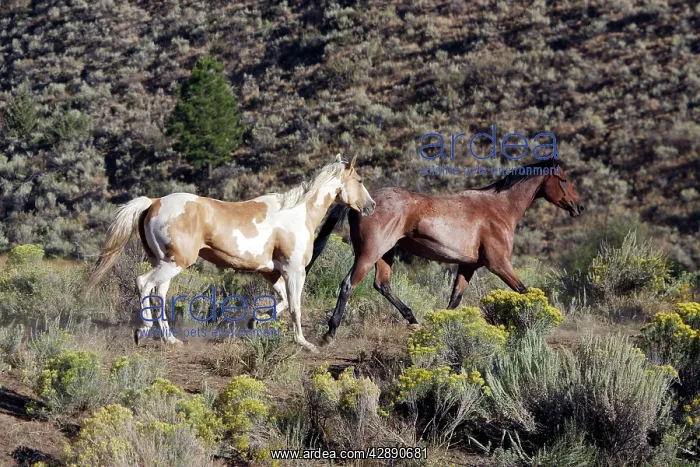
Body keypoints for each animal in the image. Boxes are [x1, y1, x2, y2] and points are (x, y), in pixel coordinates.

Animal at [87, 155, 376, 352]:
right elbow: (295, 307)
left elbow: (280, 302)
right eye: (360, 181)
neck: (297, 212)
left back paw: (170, 339)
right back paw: (142, 330)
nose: (371, 206)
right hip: (173, 263)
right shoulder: (294, 271)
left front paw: (255, 322)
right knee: (143, 283)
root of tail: (154, 203)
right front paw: (304, 343)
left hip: (165, 263)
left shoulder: (272, 273)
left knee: (159, 293)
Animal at [306, 159, 584, 344]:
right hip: (369, 254)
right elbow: (524, 290)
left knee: (382, 284)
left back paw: (413, 320)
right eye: (564, 179)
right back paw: (329, 334)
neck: (500, 208)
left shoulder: (468, 266)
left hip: (385, 255)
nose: (579, 207)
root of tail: (363, 203)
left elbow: (454, 300)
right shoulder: (499, 263)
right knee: (348, 284)